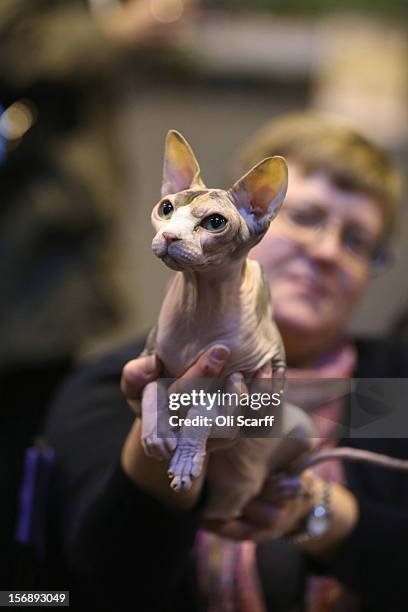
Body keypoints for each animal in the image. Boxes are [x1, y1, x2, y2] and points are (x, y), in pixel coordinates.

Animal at [139, 130, 408, 520]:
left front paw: (186, 460)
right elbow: (149, 389)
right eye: (166, 208)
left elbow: (203, 412)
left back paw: (284, 486)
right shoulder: (151, 358)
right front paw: (154, 432)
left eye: (215, 223)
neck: (200, 303)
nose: (170, 237)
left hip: (298, 425)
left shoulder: (246, 377)